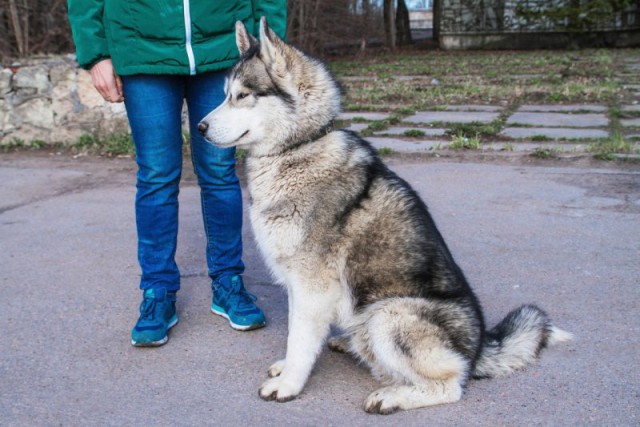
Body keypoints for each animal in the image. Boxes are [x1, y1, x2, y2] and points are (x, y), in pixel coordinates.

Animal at [198, 18, 572, 416]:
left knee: (451, 383)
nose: (200, 127)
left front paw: (288, 385)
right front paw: (287, 369)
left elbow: (299, 339)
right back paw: (349, 345)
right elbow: (296, 336)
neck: (301, 146)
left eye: (243, 95)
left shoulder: (312, 286)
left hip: (388, 314)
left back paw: (393, 395)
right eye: (225, 94)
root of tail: (478, 348)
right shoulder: (300, 288)